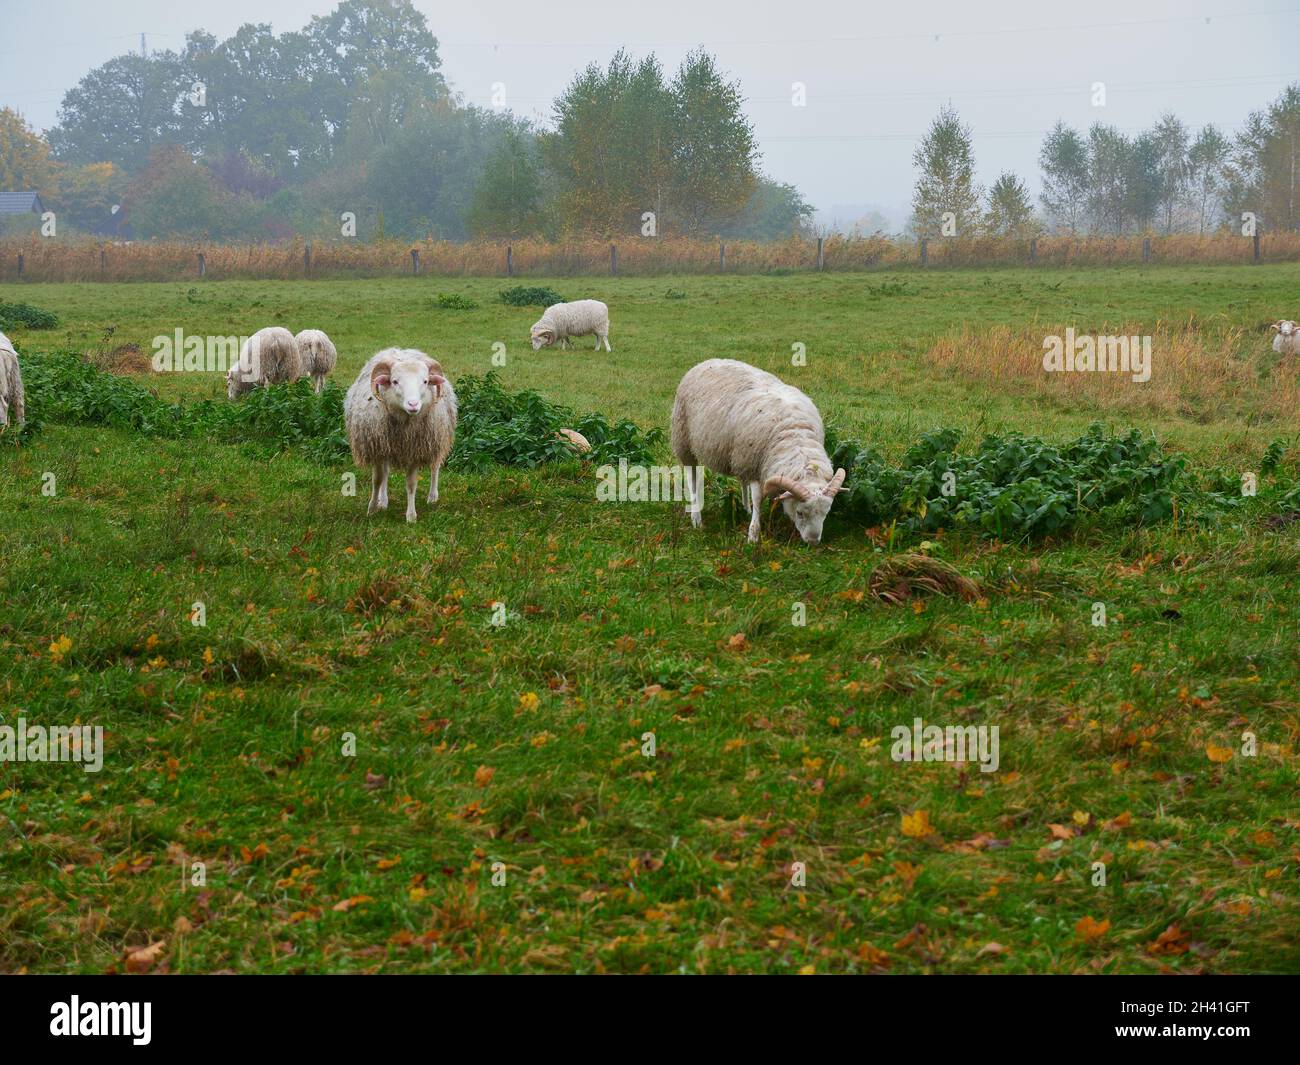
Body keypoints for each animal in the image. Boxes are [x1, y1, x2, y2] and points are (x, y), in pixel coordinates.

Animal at [344, 348, 457, 523]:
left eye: (425, 381)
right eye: (395, 381)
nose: (413, 404)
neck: (404, 426)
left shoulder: (415, 451)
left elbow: (411, 484)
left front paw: (411, 516)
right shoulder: (379, 449)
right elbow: (377, 480)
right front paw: (372, 508)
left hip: (436, 438)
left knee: (435, 467)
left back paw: (432, 496)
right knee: (385, 473)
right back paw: (383, 500)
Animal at [670, 358, 846, 545]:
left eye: (826, 513)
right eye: (800, 512)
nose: (813, 541)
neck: (795, 435)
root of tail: (708, 361)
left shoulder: (752, 460)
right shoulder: (755, 466)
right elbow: (758, 499)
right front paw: (753, 534)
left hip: (740, 453)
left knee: (742, 479)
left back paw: (745, 508)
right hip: (684, 440)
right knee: (692, 477)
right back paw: (696, 517)